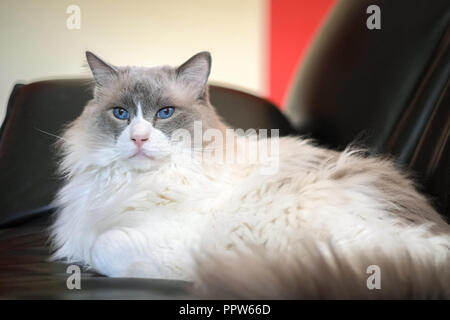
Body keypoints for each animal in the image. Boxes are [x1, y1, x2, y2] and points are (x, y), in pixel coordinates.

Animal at [50, 51, 450, 298]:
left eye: (164, 113)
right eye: (120, 114)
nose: (138, 138)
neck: (132, 183)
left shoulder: (169, 237)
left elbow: (105, 246)